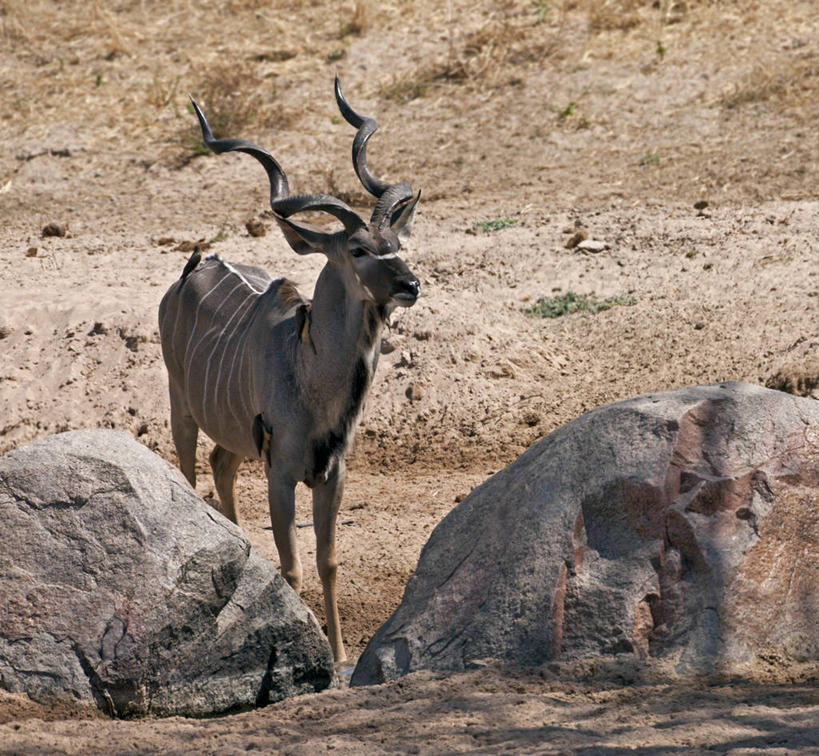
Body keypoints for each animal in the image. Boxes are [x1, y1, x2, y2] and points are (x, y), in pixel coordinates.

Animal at [159, 81, 422, 660]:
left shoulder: (331, 474)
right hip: (181, 409)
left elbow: (328, 562)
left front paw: (341, 655)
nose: (410, 284)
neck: (311, 374)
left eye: (397, 245)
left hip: (234, 437)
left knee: (220, 465)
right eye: (358, 249)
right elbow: (294, 567)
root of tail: (194, 269)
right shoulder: (280, 472)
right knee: (191, 473)